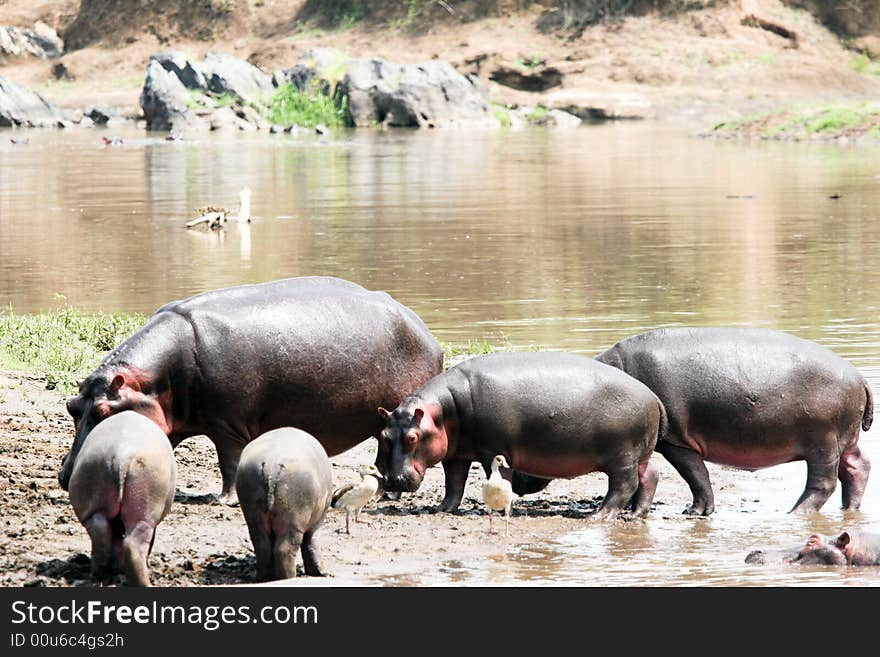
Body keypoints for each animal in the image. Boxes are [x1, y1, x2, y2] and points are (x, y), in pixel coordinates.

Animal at [61, 274, 444, 504]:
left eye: (103, 411)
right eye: (71, 406)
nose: (67, 475)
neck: (153, 380)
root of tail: (426, 330)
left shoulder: (227, 425)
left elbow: (228, 462)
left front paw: (223, 500)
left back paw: (389, 495)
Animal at [67, 410, 177, 584]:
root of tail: (121, 455)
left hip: (93, 500)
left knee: (101, 534)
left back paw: (101, 574)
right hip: (144, 514)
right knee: (133, 545)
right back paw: (144, 582)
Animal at [234, 428, 334, 580]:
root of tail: (271, 466)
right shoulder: (316, 520)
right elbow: (310, 541)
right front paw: (322, 572)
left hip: (254, 516)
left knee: (262, 545)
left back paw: (263, 578)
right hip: (293, 520)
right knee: (285, 549)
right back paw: (290, 577)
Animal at [374, 352, 664, 520]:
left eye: (412, 437)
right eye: (383, 434)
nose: (394, 480)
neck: (444, 410)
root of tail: (653, 397)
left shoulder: (493, 450)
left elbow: (499, 477)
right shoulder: (456, 455)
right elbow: (454, 484)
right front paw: (441, 510)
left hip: (622, 456)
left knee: (624, 485)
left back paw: (598, 515)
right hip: (637, 455)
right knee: (649, 476)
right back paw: (636, 515)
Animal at [596, 326, 876, 516]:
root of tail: (858, 376)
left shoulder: (676, 441)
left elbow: (695, 474)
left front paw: (695, 512)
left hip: (823, 441)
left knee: (823, 483)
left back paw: (796, 513)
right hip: (843, 439)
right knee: (858, 467)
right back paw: (849, 509)